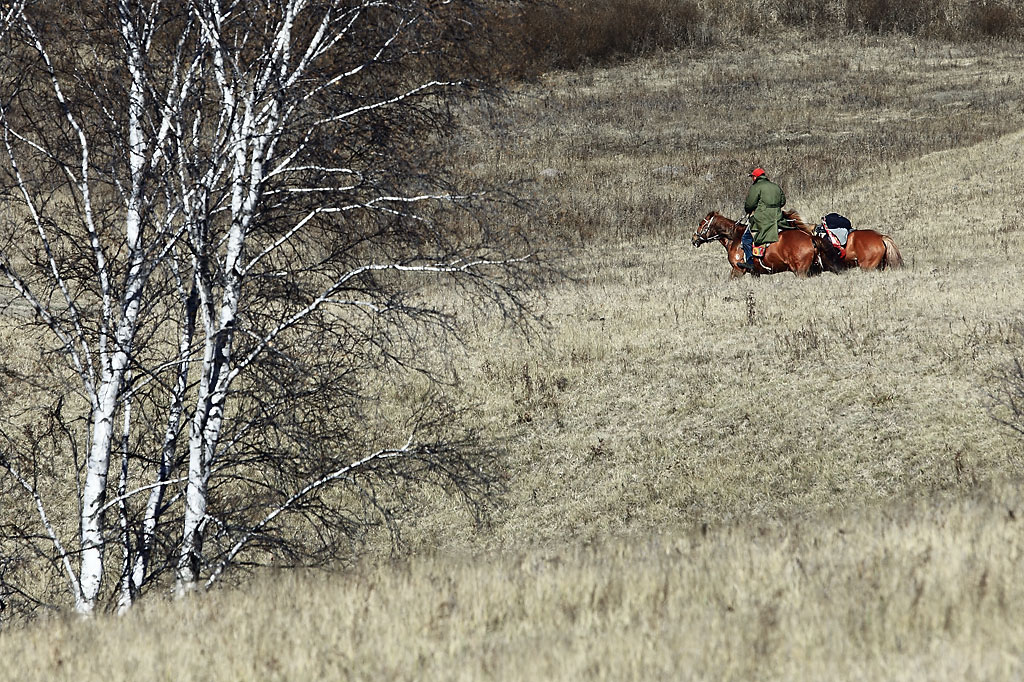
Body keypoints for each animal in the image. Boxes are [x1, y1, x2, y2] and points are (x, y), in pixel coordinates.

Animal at [688, 210, 823, 278]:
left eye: (701, 224)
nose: (693, 238)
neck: (734, 236)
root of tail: (810, 237)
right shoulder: (755, 273)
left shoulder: (738, 270)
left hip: (801, 271)